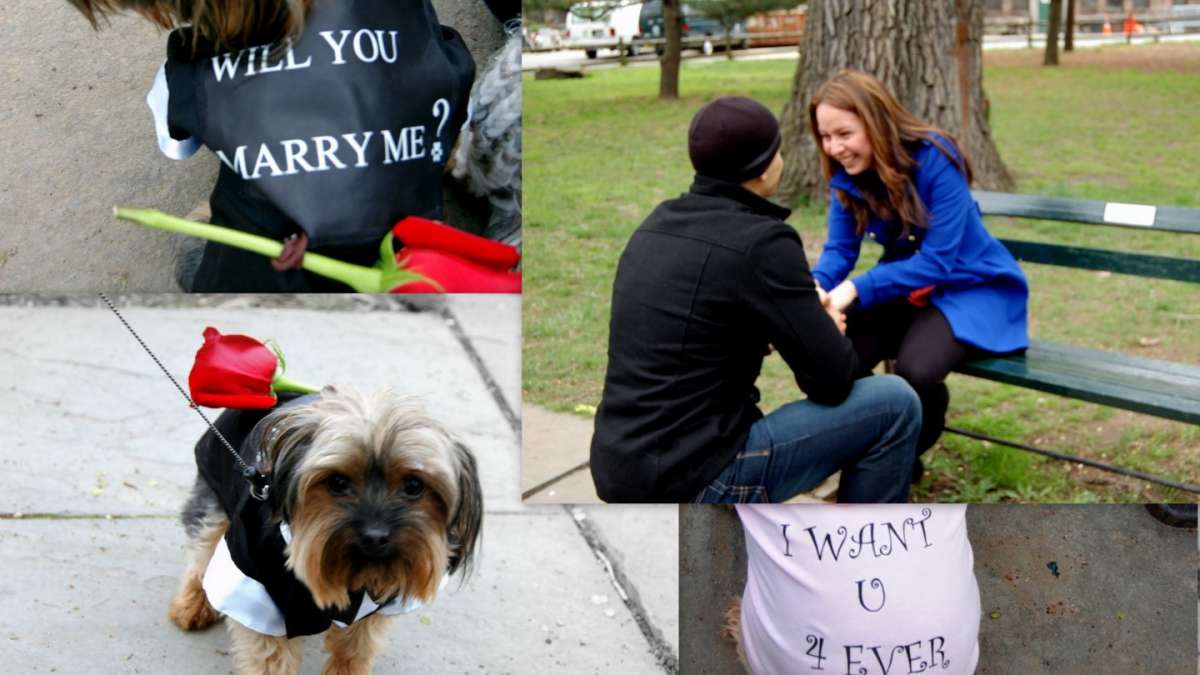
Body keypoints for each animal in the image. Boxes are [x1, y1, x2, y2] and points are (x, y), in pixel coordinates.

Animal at [168, 386, 482, 672]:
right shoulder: (254, 577)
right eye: (337, 483)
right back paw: (192, 605)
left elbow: (355, 649)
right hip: (214, 496)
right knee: (203, 549)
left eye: (414, 486)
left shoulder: (377, 607)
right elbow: (270, 657)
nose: (375, 536)